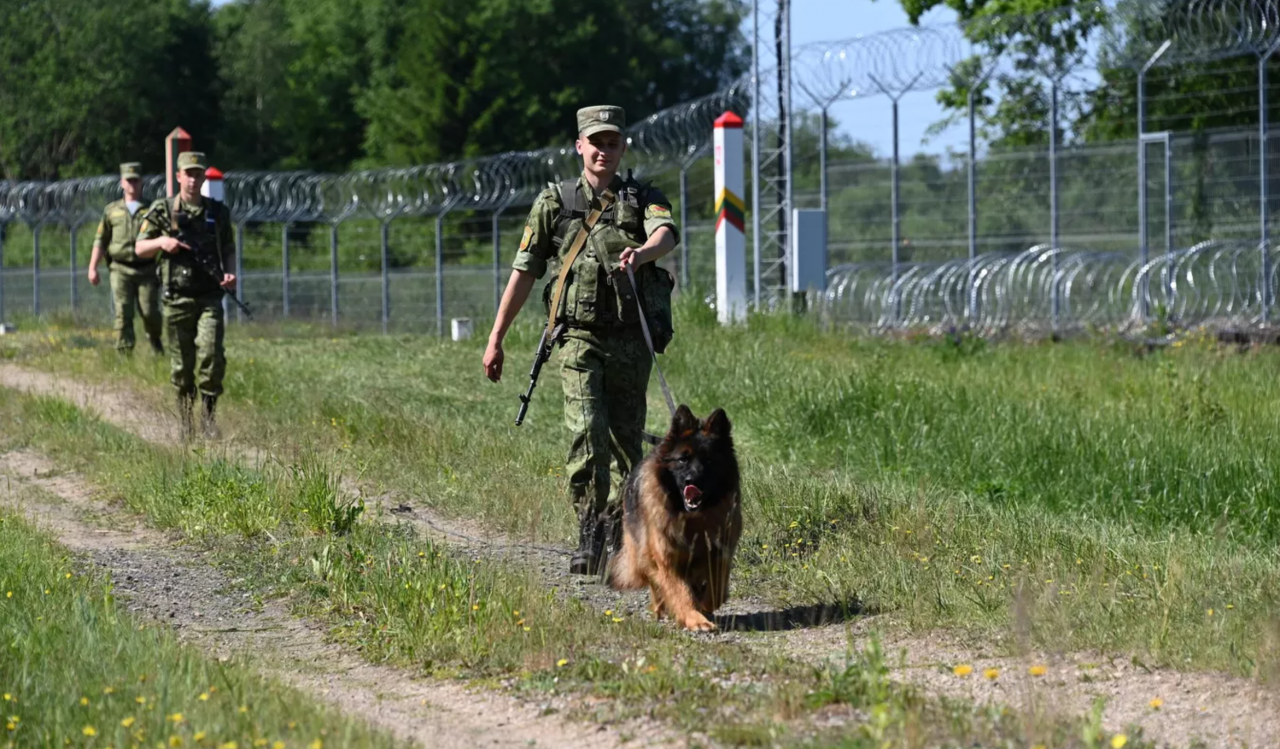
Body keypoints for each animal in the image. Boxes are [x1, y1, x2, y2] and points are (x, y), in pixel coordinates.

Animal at [606, 407, 742, 627]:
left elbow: (717, 588)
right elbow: (679, 591)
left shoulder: (720, 553)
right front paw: (695, 619)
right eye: (683, 459)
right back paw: (661, 609)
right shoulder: (666, 558)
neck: (692, 519)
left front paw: (705, 606)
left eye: (709, 460)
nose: (692, 481)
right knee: (656, 583)